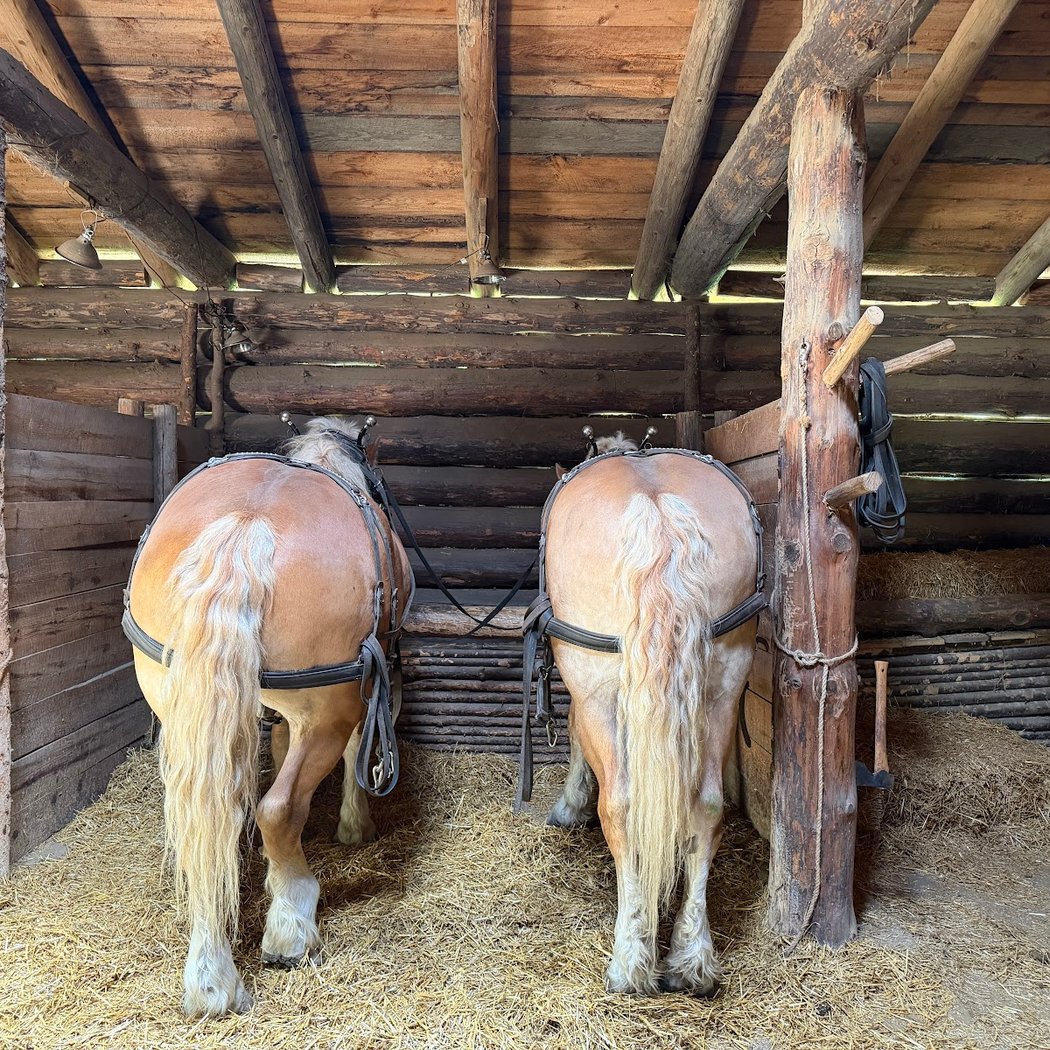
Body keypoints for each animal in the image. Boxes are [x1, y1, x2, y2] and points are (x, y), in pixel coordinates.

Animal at [124, 416, 412, 1017]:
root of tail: (248, 523)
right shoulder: (360, 689)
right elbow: (349, 756)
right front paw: (355, 826)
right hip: (328, 707)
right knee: (278, 809)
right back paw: (291, 923)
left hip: (175, 697)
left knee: (207, 815)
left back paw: (211, 976)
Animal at [534, 431, 763, 996]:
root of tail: (658, 508)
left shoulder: (587, 687)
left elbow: (573, 733)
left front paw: (569, 805)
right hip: (725, 675)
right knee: (707, 805)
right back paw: (692, 958)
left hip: (596, 682)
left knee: (621, 806)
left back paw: (631, 958)